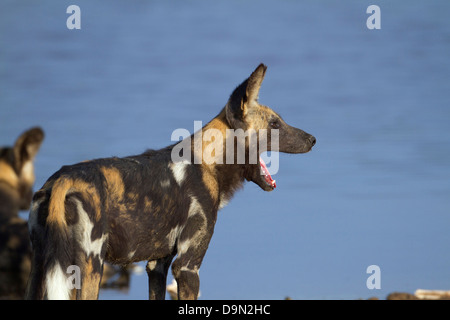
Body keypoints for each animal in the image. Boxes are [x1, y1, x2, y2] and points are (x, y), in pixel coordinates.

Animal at [26, 64, 314, 300]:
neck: (209, 162)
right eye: (275, 124)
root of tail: (62, 179)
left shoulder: (157, 266)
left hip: (41, 269)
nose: (313, 139)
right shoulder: (187, 267)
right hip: (90, 269)